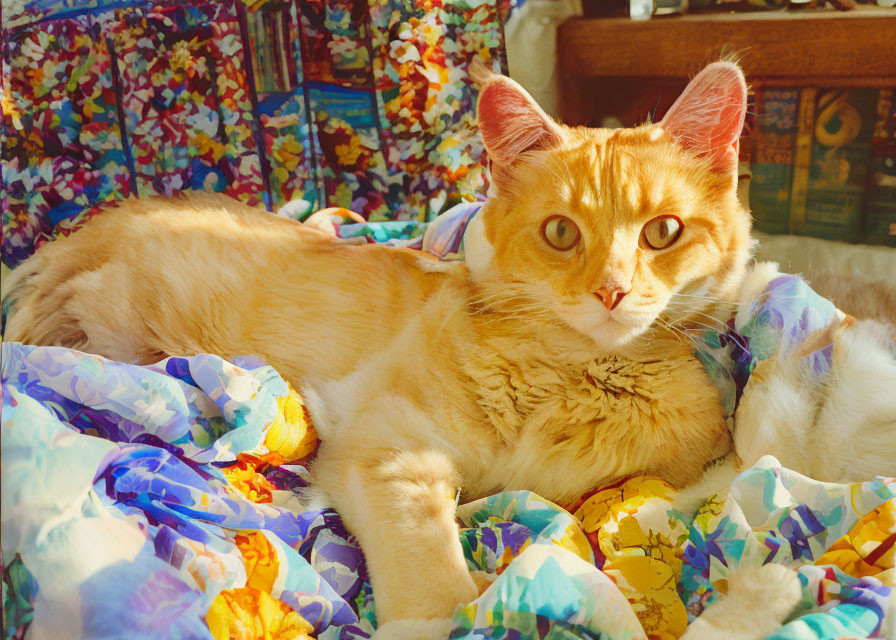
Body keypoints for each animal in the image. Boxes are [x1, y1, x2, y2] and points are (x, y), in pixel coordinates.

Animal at [3, 60, 752, 636]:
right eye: (562, 233)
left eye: (663, 232)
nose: (613, 292)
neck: (575, 377)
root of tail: (77, 236)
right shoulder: (388, 449)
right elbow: (430, 566)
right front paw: (441, 619)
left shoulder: (681, 450)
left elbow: (703, 474)